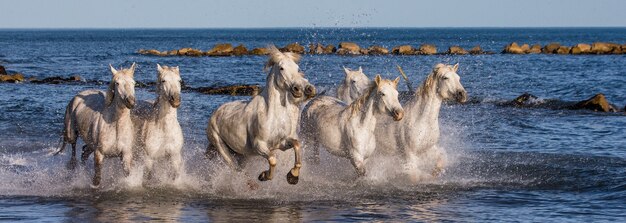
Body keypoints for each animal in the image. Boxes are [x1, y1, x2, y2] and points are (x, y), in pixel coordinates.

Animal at [206, 47, 314, 185]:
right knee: (236, 169)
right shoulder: (259, 146)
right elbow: (273, 160)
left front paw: (293, 176)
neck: (272, 115)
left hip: (242, 154)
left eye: (297, 67)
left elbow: (297, 144)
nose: (304, 89)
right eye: (281, 68)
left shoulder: (282, 143)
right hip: (222, 148)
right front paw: (264, 175)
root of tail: (216, 112)